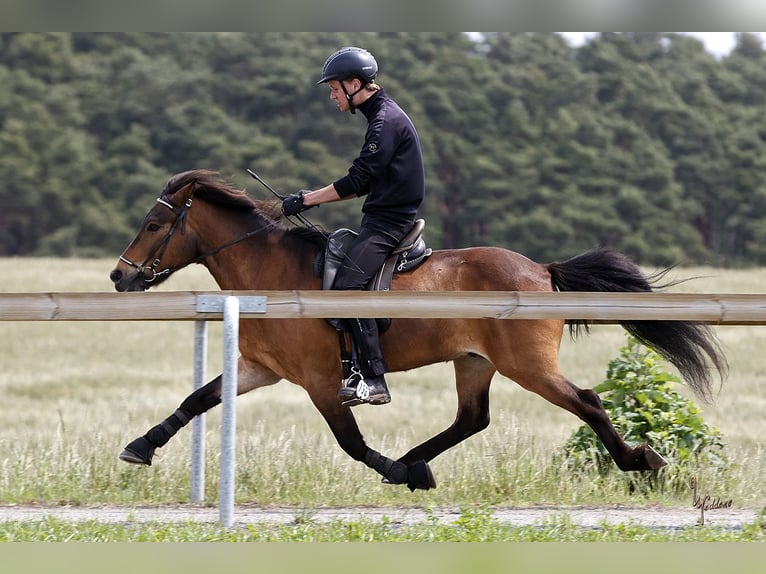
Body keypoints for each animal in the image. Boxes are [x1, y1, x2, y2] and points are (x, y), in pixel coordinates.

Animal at [109, 169, 728, 492]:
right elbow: (197, 399)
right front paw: (140, 446)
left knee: (588, 402)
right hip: (474, 361)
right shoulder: (258, 369)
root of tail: (542, 271)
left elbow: (352, 442)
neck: (272, 272)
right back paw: (415, 461)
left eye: (155, 224)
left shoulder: (318, 382)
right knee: (471, 419)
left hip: (528, 366)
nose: (120, 276)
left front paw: (396, 471)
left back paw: (639, 461)